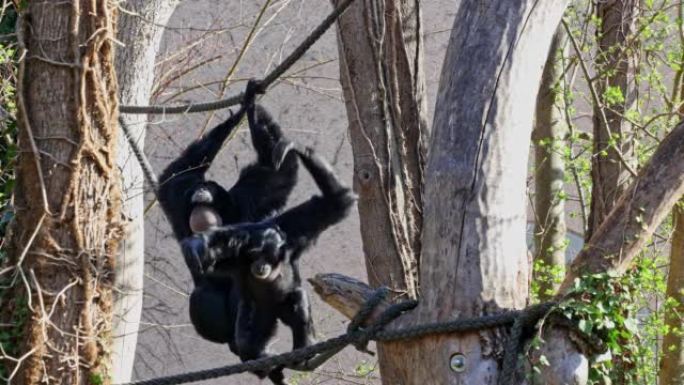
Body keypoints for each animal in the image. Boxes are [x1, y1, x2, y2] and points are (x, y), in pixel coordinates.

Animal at [158, 79, 356, 382]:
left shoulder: (249, 195)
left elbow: (273, 168)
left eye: (211, 189)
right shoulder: (178, 197)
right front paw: (242, 107)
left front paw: (247, 103)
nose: (203, 191)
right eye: (203, 189)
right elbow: (177, 173)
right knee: (204, 296)